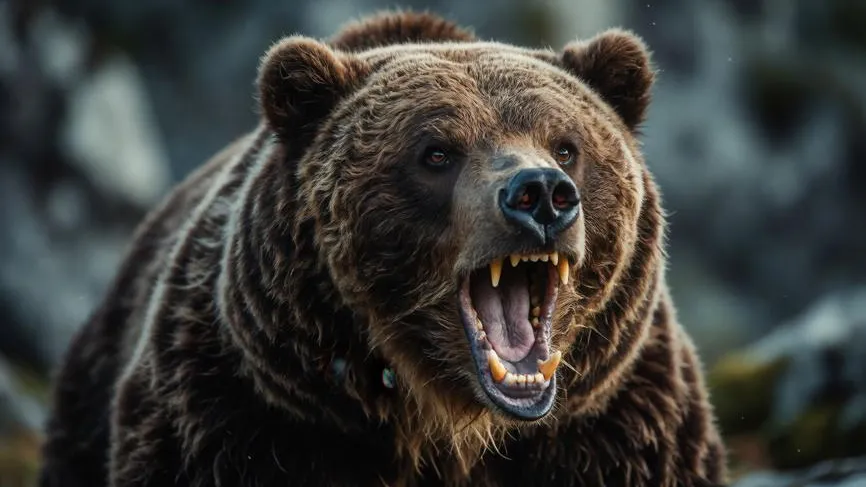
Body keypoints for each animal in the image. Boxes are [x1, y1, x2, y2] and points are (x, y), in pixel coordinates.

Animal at [38, 10, 728, 487]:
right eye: (437, 152)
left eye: (566, 145)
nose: (541, 195)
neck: (448, 424)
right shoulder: (240, 418)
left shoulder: (617, 430)